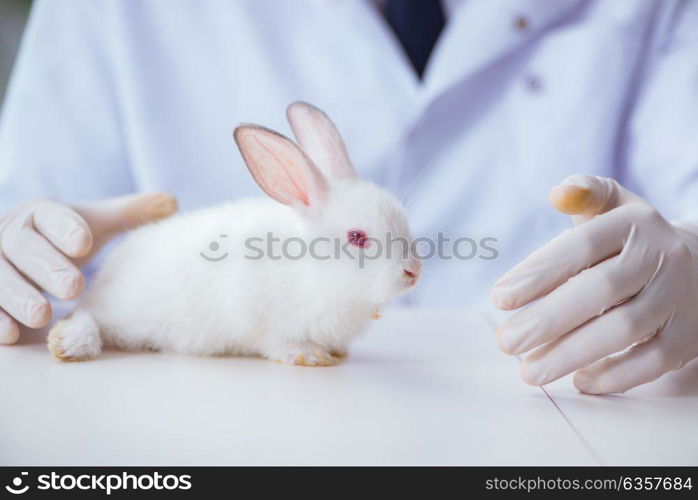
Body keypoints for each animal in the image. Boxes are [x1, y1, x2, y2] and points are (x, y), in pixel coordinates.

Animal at [50, 102, 418, 368]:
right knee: (85, 315)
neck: (316, 272)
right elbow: (276, 342)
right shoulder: (262, 318)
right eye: (356, 237)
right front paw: (309, 357)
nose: (413, 272)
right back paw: (67, 343)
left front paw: (337, 352)